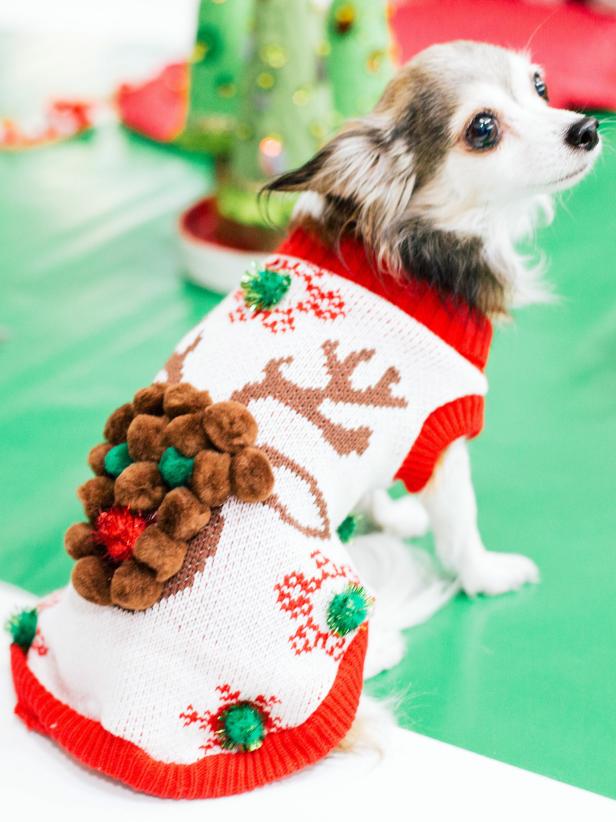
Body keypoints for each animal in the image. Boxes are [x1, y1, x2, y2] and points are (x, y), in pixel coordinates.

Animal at [10, 40, 600, 800]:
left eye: (541, 86)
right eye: (483, 130)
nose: (585, 128)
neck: (406, 243)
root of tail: (105, 716)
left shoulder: (388, 433)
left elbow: (376, 485)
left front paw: (389, 514)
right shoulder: (439, 431)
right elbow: (460, 524)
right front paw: (487, 574)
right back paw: (385, 644)